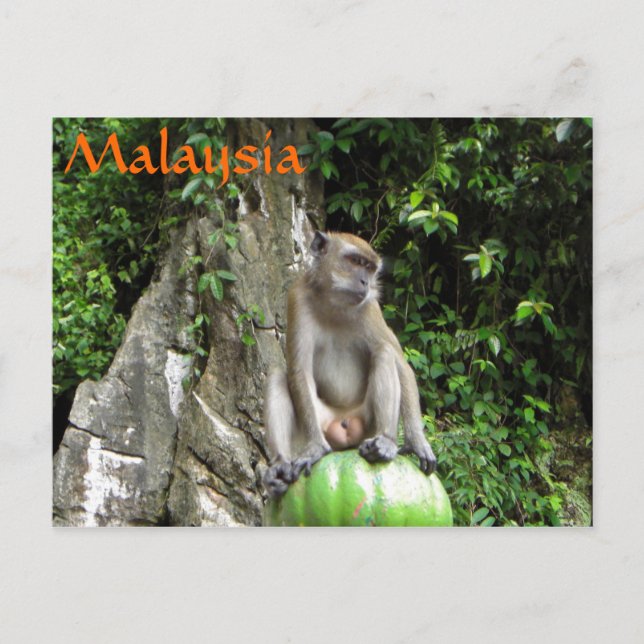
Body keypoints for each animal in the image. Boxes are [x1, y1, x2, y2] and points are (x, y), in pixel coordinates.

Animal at [263, 230, 436, 497]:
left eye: (370, 268)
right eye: (355, 261)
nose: (365, 282)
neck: (335, 304)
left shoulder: (371, 309)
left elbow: (402, 365)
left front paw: (417, 442)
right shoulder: (297, 298)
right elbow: (298, 371)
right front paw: (315, 448)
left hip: (365, 423)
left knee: (384, 353)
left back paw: (385, 442)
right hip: (321, 423)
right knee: (278, 376)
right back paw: (281, 465)